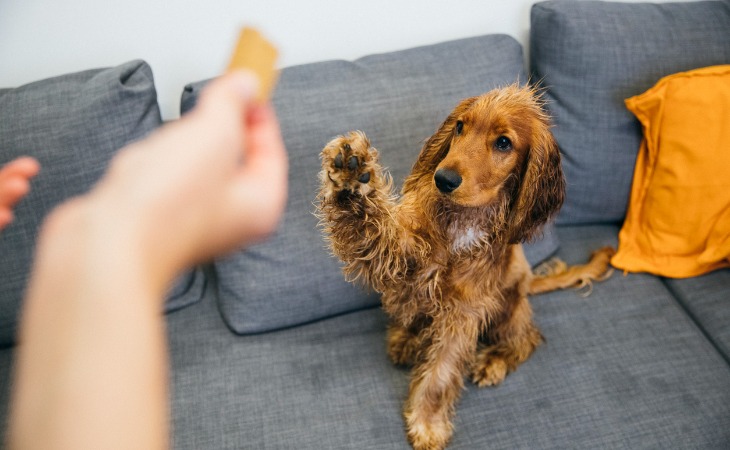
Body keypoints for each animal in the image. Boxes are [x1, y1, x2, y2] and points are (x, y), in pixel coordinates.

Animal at [316, 85, 612, 450]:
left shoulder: (463, 312)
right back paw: (405, 338)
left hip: (508, 308)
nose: (443, 179)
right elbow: (375, 228)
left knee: (527, 338)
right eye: (459, 126)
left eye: (504, 143)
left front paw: (427, 423)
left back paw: (494, 362)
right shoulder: (404, 254)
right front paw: (350, 176)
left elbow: (441, 373)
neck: (463, 224)